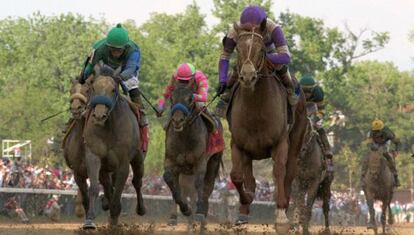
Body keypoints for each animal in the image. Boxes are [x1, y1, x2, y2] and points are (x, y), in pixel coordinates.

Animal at [82, 63, 146, 229]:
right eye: (93, 87)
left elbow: (119, 190)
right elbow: (94, 187)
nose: (99, 116)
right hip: (105, 167)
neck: (109, 127)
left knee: (137, 181)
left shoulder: (123, 162)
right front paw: (90, 218)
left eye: (113, 89)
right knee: (107, 183)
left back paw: (141, 209)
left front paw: (115, 216)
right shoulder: (94, 155)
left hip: (138, 158)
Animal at [163, 82, 225, 228]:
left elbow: (199, 183)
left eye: (190, 98)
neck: (184, 138)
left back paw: (202, 214)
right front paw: (185, 210)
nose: (177, 120)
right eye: (171, 98)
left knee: (207, 186)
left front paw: (199, 212)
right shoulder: (171, 160)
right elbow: (169, 179)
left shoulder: (200, 161)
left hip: (214, 161)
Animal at [226, 23, 308, 232]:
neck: (256, 109)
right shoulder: (238, 144)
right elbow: (237, 176)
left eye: (261, 49)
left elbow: (279, 172)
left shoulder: (280, 143)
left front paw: (281, 216)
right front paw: (245, 202)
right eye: (237, 48)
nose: (247, 76)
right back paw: (244, 211)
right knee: (248, 177)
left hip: (297, 139)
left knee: (289, 173)